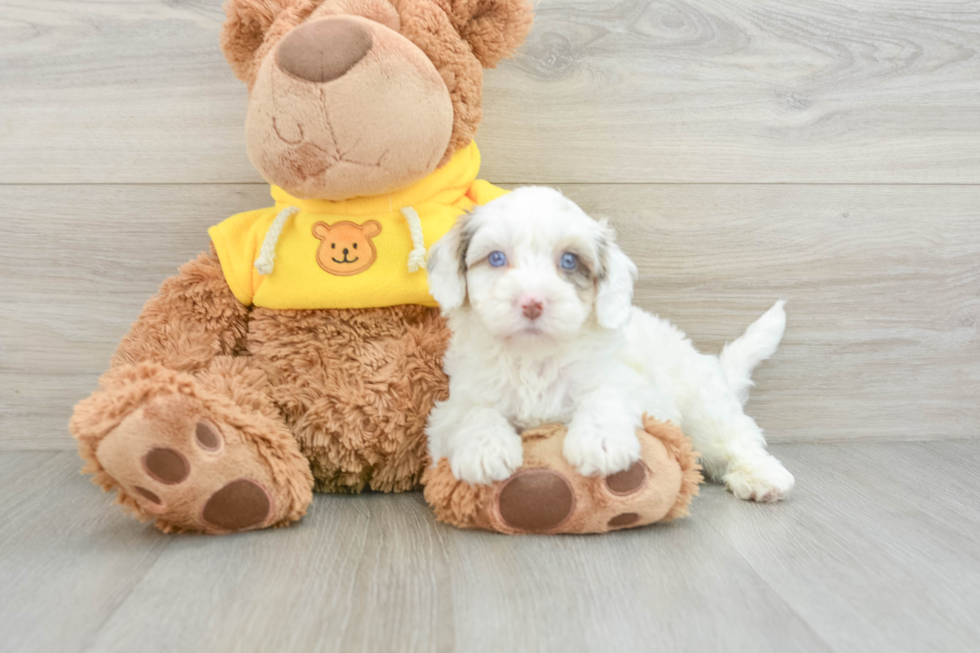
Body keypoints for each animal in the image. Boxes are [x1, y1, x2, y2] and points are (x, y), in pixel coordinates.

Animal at [424, 186, 792, 502]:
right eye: (496, 258)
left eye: (569, 261)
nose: (532, 302)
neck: (535, 360)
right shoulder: (452, 405)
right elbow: (470, 412)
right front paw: (485, 447)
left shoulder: (634, 386)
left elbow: (607, 394)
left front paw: (600, 441)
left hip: (703, 407)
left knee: (737, 438)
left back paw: (762, 475)